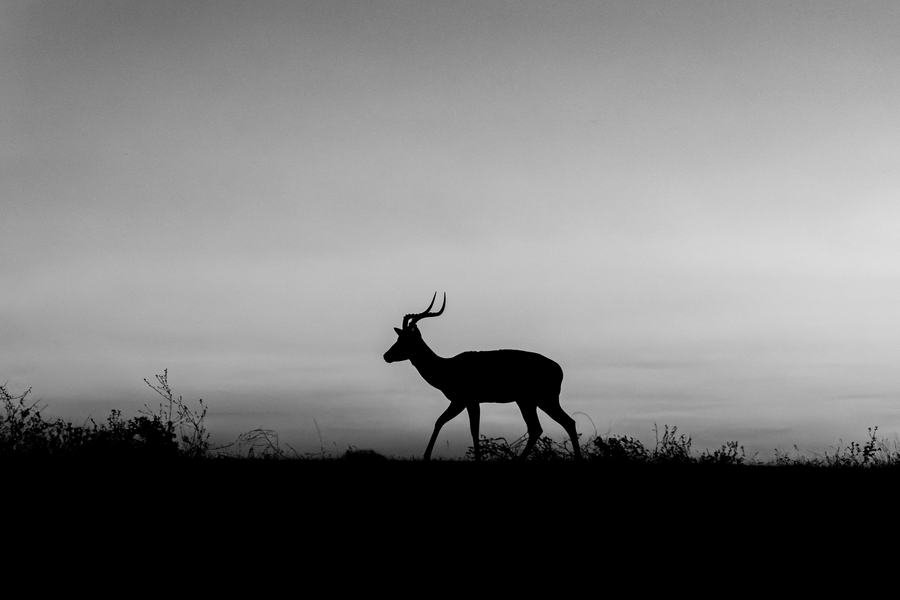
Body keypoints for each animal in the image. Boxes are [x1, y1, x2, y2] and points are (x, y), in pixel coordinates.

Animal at [383, 293, 582, 461]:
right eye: (399, 338)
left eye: (405, 339)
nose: (386, 355)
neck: (446, 368)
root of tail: (559, 369)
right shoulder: (464, 402)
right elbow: (444, 422)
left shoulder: (466, 400)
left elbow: (469, 428)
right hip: (529, 401)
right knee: (544, 427)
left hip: (541, 399)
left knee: (562, 423)